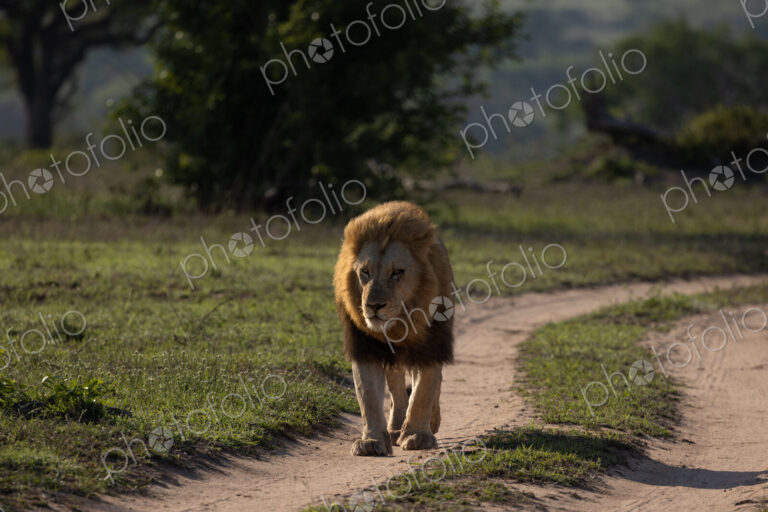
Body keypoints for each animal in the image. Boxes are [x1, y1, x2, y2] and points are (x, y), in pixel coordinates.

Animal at [333, 201, 455, 456]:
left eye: (397, 272)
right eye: (365, 271)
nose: (373, 306)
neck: (400, 323)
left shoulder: (430, 345)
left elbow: (423, 391)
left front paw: (418, 436)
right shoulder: (366, 347)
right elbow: (368, 395)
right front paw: (371, 441)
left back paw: (430, 422)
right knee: (397, 390)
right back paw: (396, 428)